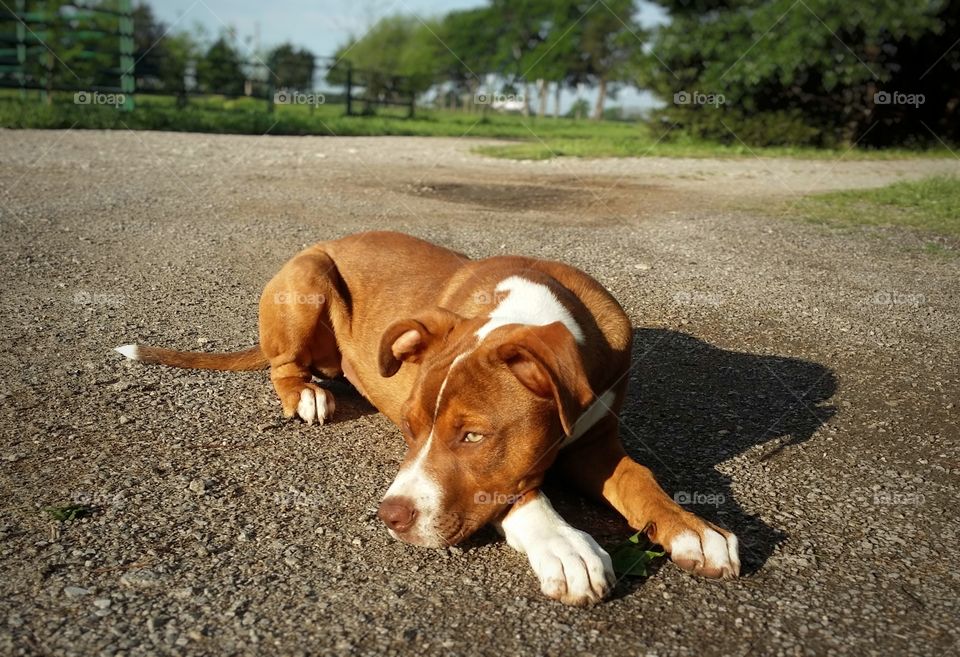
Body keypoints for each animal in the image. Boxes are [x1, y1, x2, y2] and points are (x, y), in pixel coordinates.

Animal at [114, 231, 744, 604]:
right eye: (411, 428)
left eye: (472, 435)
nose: (389, 516)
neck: (535, 311)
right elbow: (517, 491)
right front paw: (564, 546)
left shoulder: (595, 442)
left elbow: (638, 476)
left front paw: (691, 528)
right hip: (307, 279)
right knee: (282, 363)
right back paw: (307, 393)